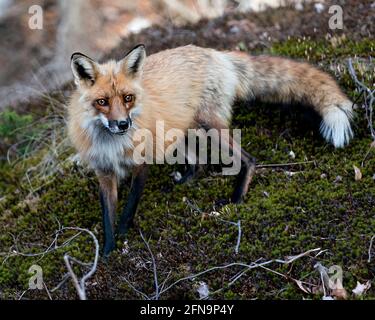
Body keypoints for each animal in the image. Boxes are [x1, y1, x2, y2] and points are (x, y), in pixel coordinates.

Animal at [68, 44, 356, 255]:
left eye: (128, 98)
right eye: (102, 102)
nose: (123, 124)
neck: (112, 144)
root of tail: (215, 53)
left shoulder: (143, 162)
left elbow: (128, 209)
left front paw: (123, 238)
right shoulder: (104, 172)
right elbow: (108, 216)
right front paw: (107, 252)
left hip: (211, 126)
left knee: (249, 159)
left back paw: (236, 198)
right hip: (181, 130)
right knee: (199, 164)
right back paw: (181, 183)